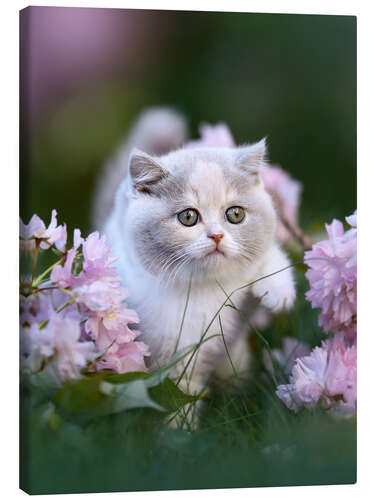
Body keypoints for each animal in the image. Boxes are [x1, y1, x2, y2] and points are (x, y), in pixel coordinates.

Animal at [94, 108, 296, 426]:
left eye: (235, 214)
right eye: (188, 217)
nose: (216, 236)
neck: (203, 290)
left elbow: (266, 252)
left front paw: (278, 291)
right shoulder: (172, 351)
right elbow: (179, 393)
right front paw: (180, 432)